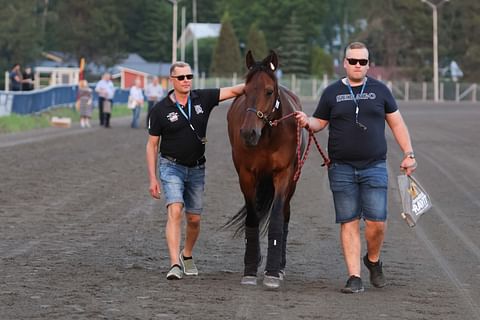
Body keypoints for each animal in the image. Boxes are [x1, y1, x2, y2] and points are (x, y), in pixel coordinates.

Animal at [227, 51, 306, 288]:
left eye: (269, 91)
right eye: (245, 91)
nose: (248, 133)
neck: (268, 137)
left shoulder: (284, 174)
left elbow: (277, 218)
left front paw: (272, 272)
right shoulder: (246, 175)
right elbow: (252, 217)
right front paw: (250, 269)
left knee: (286, 214)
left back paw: (279, 267)